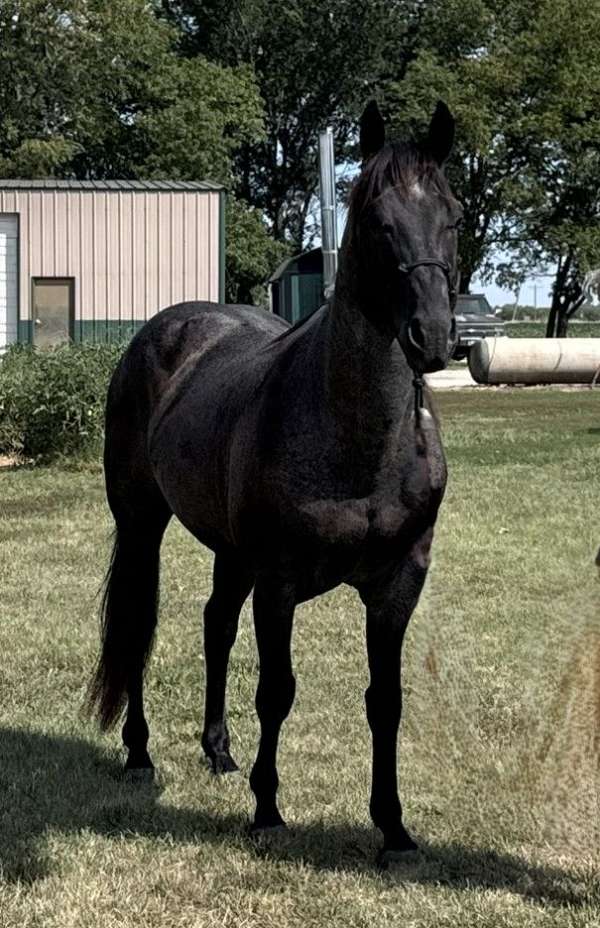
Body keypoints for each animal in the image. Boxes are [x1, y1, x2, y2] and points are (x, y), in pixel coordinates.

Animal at [89, 99, 462, 864]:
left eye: (454, 214)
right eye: (377, 220)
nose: (434, 336)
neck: (358, 441)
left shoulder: (399, 581)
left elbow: (386, 700)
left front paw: (394, 827)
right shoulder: (281, 581)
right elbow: (277, 691)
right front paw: (266, 811)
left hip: (232, 554)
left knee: (214, 625)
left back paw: (218, 750)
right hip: (142, 525)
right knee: (139, 622)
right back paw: (139, 753)